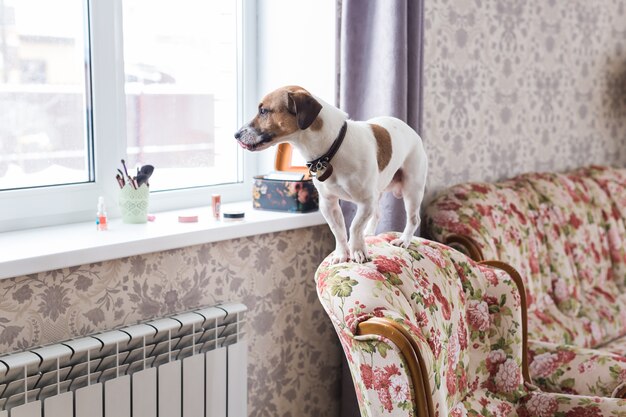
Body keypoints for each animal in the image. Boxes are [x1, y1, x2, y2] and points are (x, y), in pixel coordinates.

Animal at [232, 85, 426, 264]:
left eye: (263, 111)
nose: (236, 134)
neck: (332, 149)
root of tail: (411, 130)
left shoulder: (365, 202)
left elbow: (354, 227)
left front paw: (358, 250)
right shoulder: (328, 203)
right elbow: (338, 230)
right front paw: (342, 254)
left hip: (411, 190)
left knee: (414, 219)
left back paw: (404, 240)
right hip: (378, 194)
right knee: (377, 215)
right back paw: (370, 234)